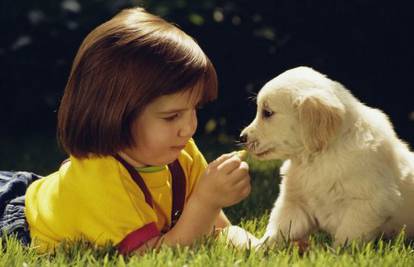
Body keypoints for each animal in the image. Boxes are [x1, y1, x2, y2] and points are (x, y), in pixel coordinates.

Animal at [241, 66, 414, 247]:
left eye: (267, 113)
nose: (242, 138)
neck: (316, 159)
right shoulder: (296, 206)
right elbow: (276, 232)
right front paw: (256, 248)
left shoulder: (368, 205)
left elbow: (346, 238)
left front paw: (336, 252)